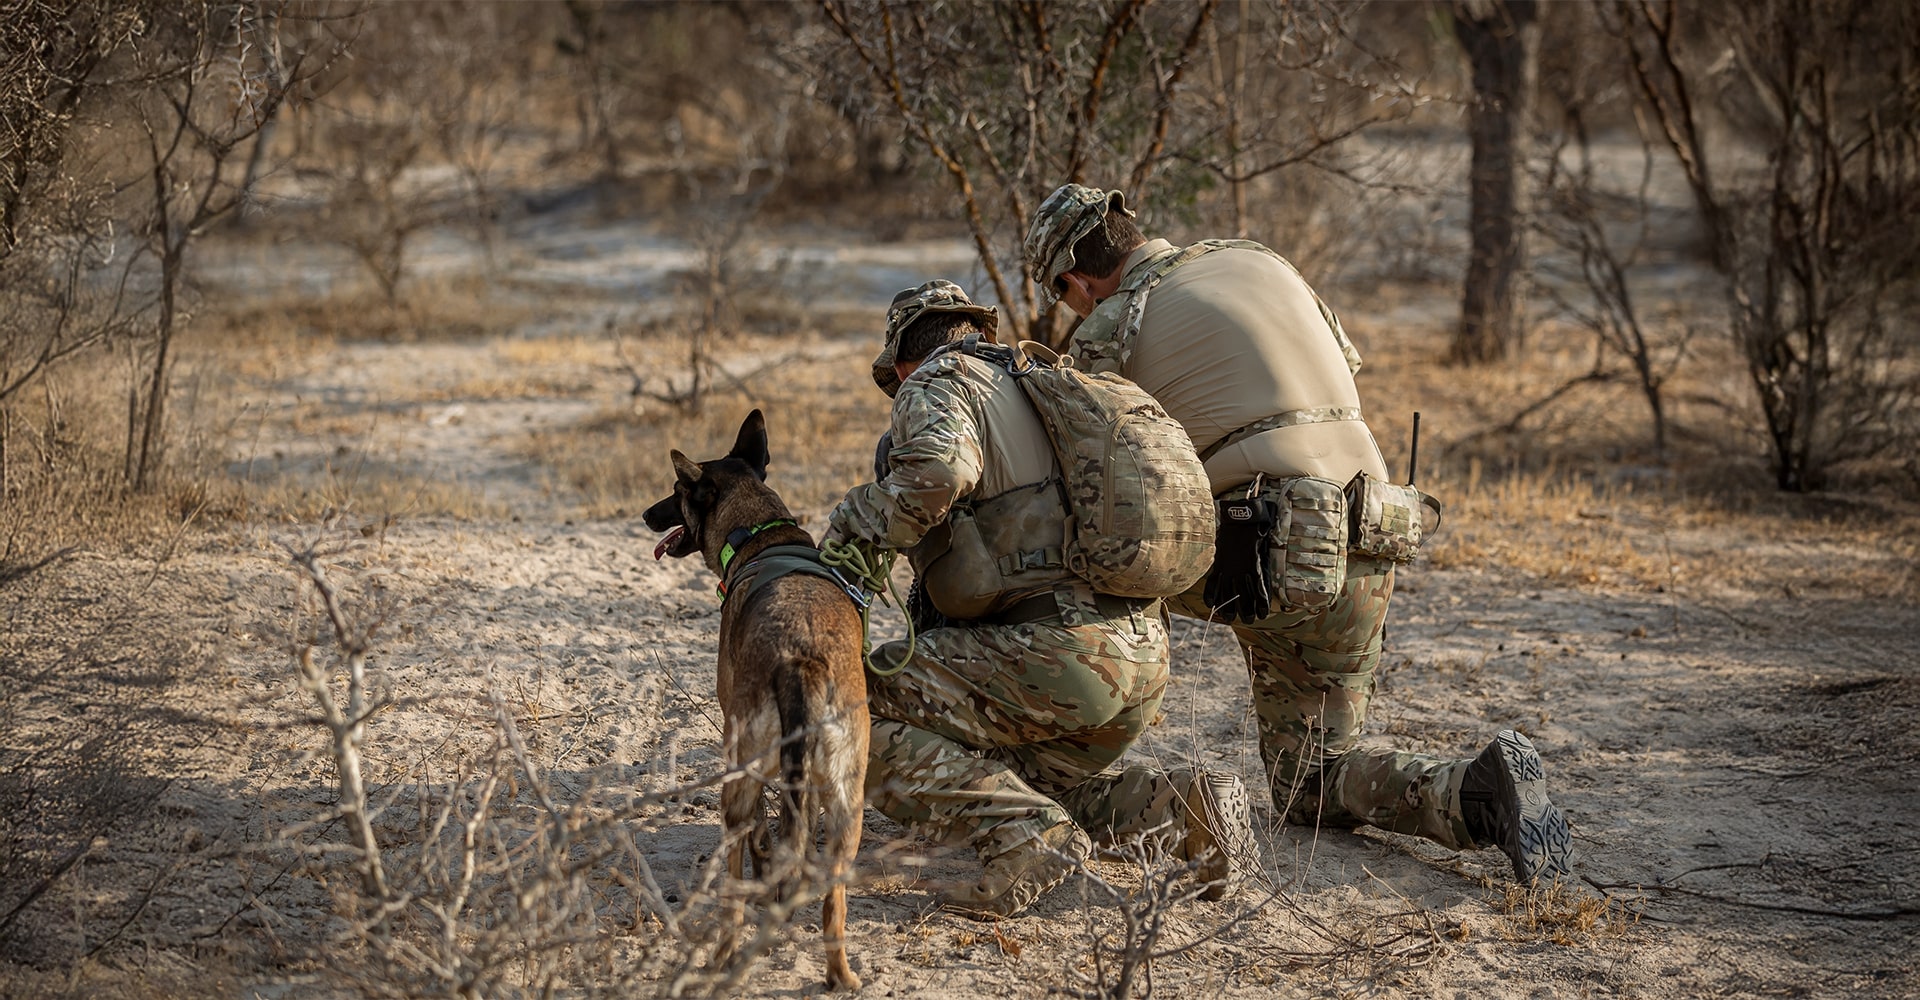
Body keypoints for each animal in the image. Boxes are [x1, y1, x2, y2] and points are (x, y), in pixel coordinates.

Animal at [645, 406, 871, 990]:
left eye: (675, 491)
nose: (644, 514)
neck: (759, 529)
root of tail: (802, 661)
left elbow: (760, 836)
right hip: (849, 804)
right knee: (833, 902)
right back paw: (840, 974)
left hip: (738, 779)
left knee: (735, 877)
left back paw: (723, 956)